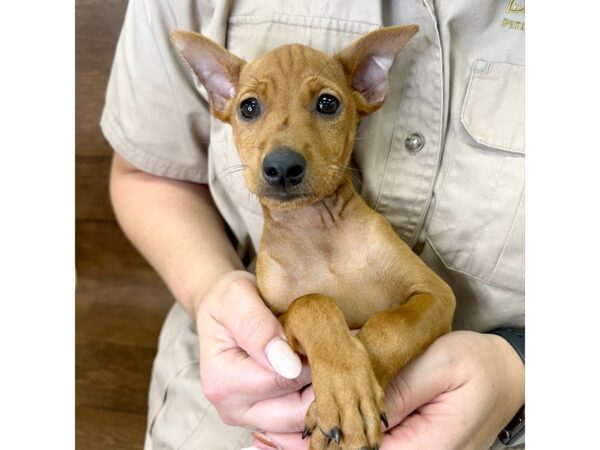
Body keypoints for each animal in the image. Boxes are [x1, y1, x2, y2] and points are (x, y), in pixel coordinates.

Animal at [172, 27, 454, 450]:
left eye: (327, 103)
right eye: (248, 107)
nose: (282, 167)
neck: (316, 231)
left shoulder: (435, 295)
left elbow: (392, 326)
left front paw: (345, 399)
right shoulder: (275, 318)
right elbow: (312, 303)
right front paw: (342, 392)